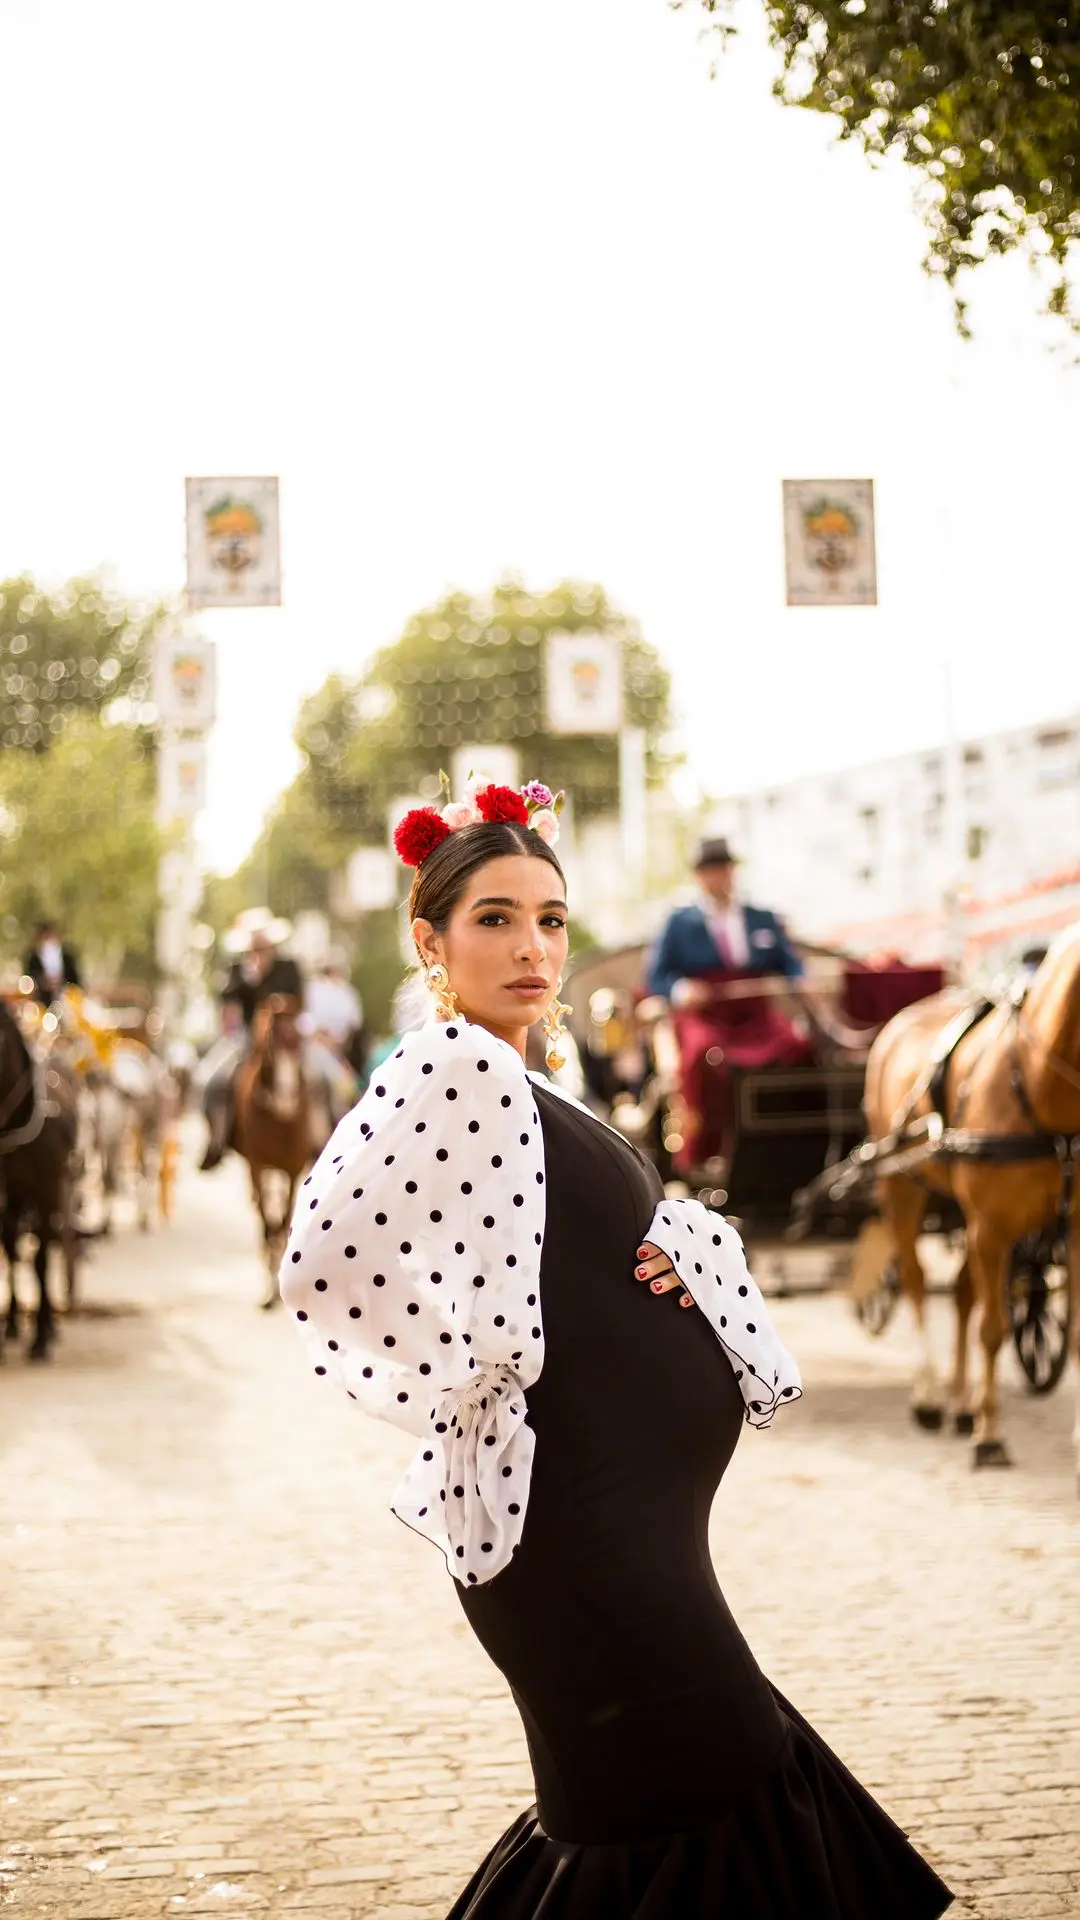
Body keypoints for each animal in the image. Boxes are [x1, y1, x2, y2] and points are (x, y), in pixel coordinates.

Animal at [234, 998, 320, 1313]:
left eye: (301, 1041)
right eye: (270, 1040)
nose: (287, 1098)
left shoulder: (293, 1170)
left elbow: (282, 1222)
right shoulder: (256, 1167)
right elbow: (266, 1223)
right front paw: (269, 1291)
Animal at [860, 921, 1076, 1474]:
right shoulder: (992, 1227)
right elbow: (993, 1329)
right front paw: (990, 1435)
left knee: (960, 1294)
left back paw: (960, 1404)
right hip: (902, 1187)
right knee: (916, 1282)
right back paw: (931, 1397)